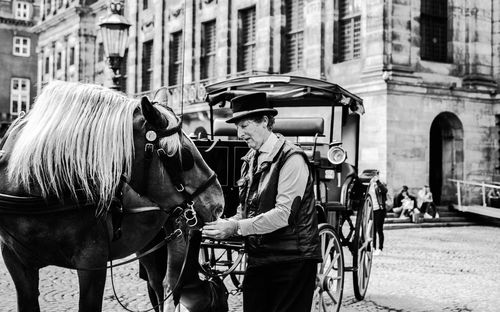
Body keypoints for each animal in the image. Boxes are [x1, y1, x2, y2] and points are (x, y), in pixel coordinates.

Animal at [0, 81, 225, 312]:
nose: (217, 201)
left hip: (180, 234)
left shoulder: (93, 261)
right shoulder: (15, 262)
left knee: (171, 287)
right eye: (183, 156)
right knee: (157, 285)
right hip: (151, 243)